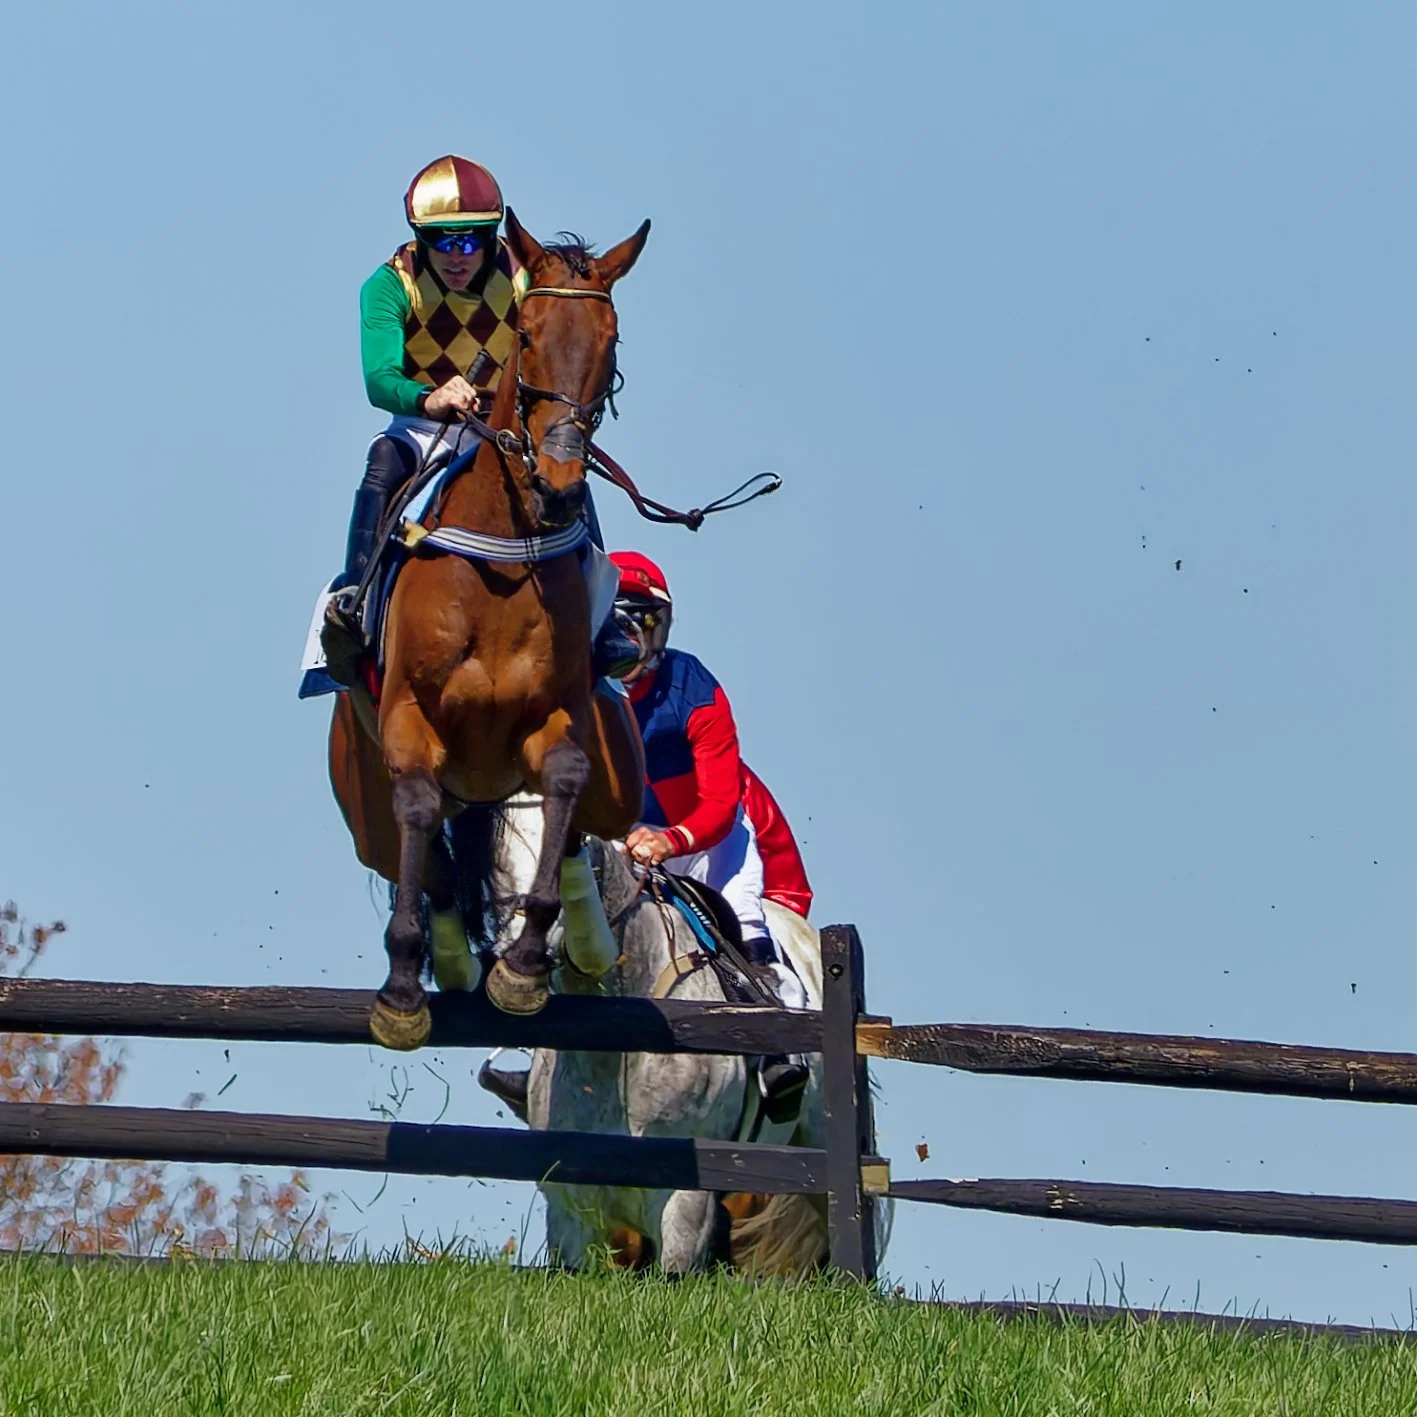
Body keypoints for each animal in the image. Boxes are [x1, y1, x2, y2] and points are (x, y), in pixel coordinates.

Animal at [328, 213, 652, 1050]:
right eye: (527, 334)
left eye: (611, 342)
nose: (559, 484)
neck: (500, 560)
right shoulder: (409, 720)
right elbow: (418, 808)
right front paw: (403, 987)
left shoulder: (558, 717)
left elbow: (563, 779)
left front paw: (526, 963)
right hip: (365, 811)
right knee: (428, 856)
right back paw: (447, 962)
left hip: (620, 784)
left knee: (576, 830)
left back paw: (577, 948)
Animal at [476, 793, 893, 1277]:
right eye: (491, 847)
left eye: (571, 842)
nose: (519, 955)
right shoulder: (569, 1209)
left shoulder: (684, 1203)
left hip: (820, 1150)